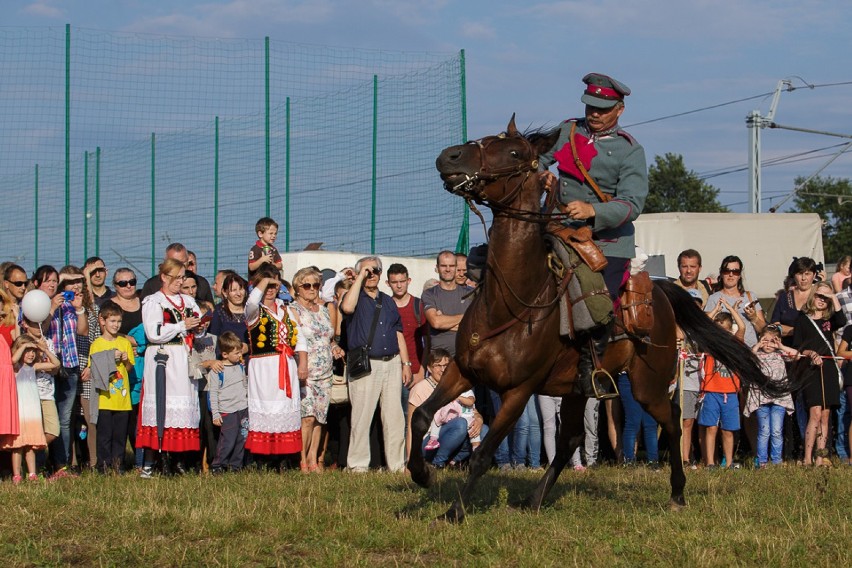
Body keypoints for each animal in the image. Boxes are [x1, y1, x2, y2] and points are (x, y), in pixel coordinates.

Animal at [410, 115, 784, 524]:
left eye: (513, 153)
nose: (450, 156)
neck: (509, 300)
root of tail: (661, 289)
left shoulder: (518, 392)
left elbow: (481, 455)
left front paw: (453, 512)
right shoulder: (462, 371)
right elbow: (421, 416)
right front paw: (421, 474)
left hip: (646, 386)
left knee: (670, 420)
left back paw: (677, 492)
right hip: (577, 390)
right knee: (570, 440)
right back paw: (535, 499)